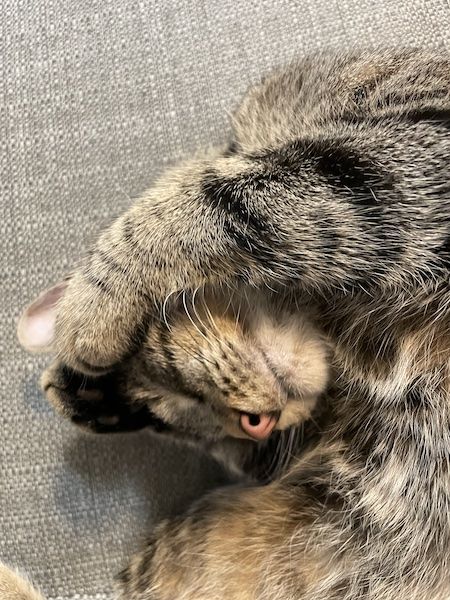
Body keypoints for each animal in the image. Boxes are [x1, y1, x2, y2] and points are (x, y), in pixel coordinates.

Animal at [5, 49, 450, 596]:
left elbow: (227, 193)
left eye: (162, 369)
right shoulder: (278, 453)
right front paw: (97, 399)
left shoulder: (410, 141)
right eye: (191, 412)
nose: (258, 423)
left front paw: (90, 306)